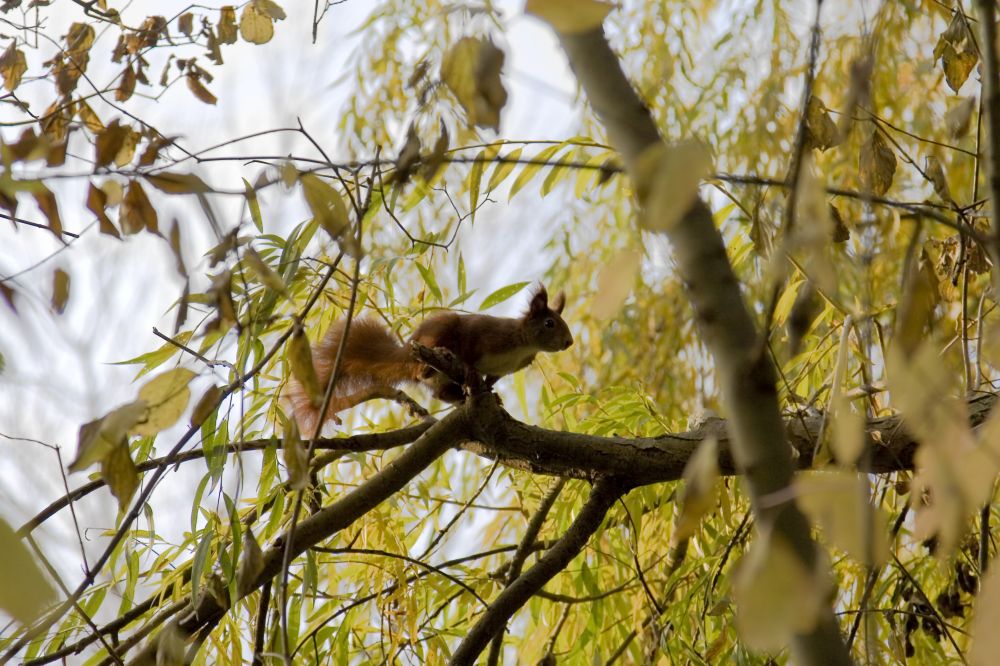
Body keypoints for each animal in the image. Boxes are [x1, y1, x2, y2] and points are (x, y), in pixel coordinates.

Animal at [286, 284, 576, 430]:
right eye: (550, 323)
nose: (569, 342)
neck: (523, 345)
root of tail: (406, 351)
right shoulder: (482, 335)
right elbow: (469, 355)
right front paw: (471, 371)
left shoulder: (505, 368)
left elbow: (490, 380)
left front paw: (492, 394)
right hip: (439, 333)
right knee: (427, 371)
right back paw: (435, 364)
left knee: (441, 394)